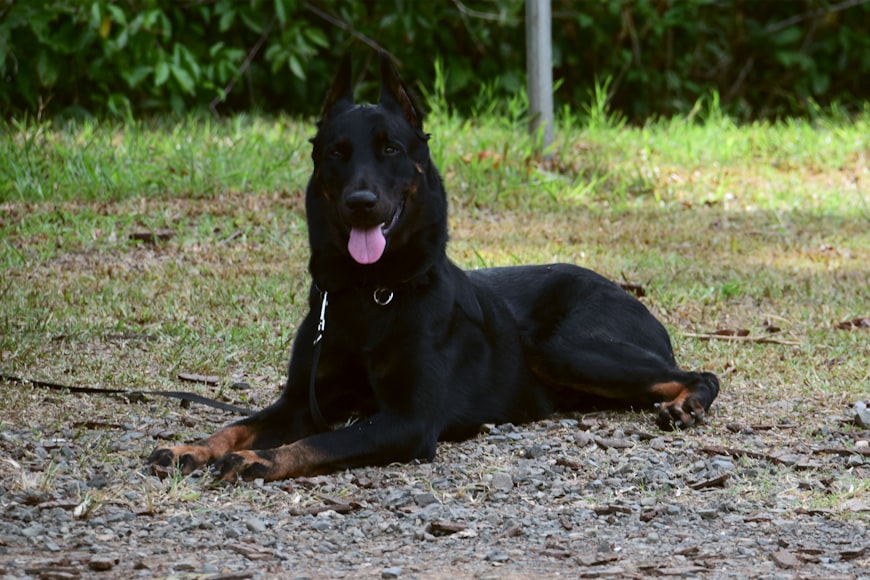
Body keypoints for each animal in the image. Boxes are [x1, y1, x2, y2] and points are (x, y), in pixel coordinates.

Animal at [150, 53, 724, 480]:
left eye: (390, 149)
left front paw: (259, 459)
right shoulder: (300, 403)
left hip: (563, 346)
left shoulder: (408, 420)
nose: (361, 203)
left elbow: (324, 442)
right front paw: (192, 447)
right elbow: (239, 425)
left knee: (702, 372)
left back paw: (687, 405)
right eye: (337, 152)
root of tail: (626, 293)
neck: (370, 291)